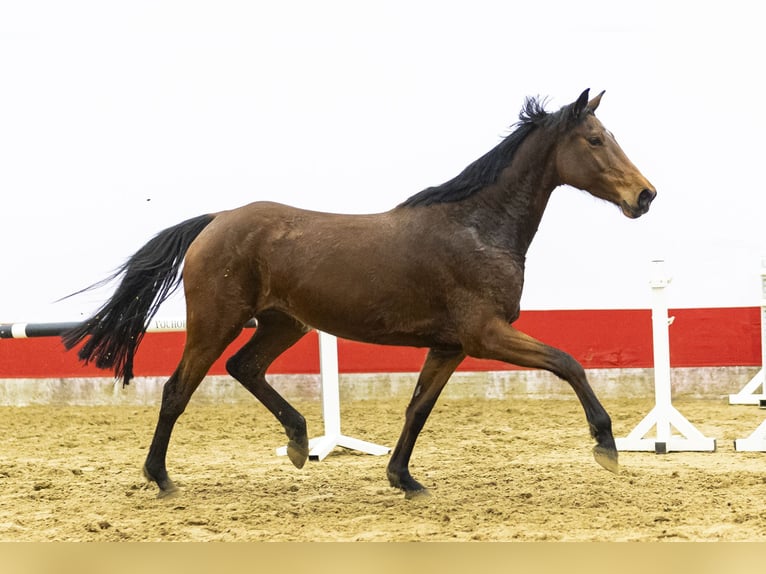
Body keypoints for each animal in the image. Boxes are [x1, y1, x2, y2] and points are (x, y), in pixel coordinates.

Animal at [63, 89, 656, 498]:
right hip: (215, 322)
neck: (477, 227)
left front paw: (403, 479)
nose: (645, 195)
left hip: (284, 323)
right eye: (595, 139)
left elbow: (418, 407)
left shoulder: (449, 346)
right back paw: (161, 478)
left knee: (244, 368)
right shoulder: (486, 335)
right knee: (177, 389)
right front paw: (606, 446)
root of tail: (217, 220)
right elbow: (568, 362)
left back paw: (300, 442)